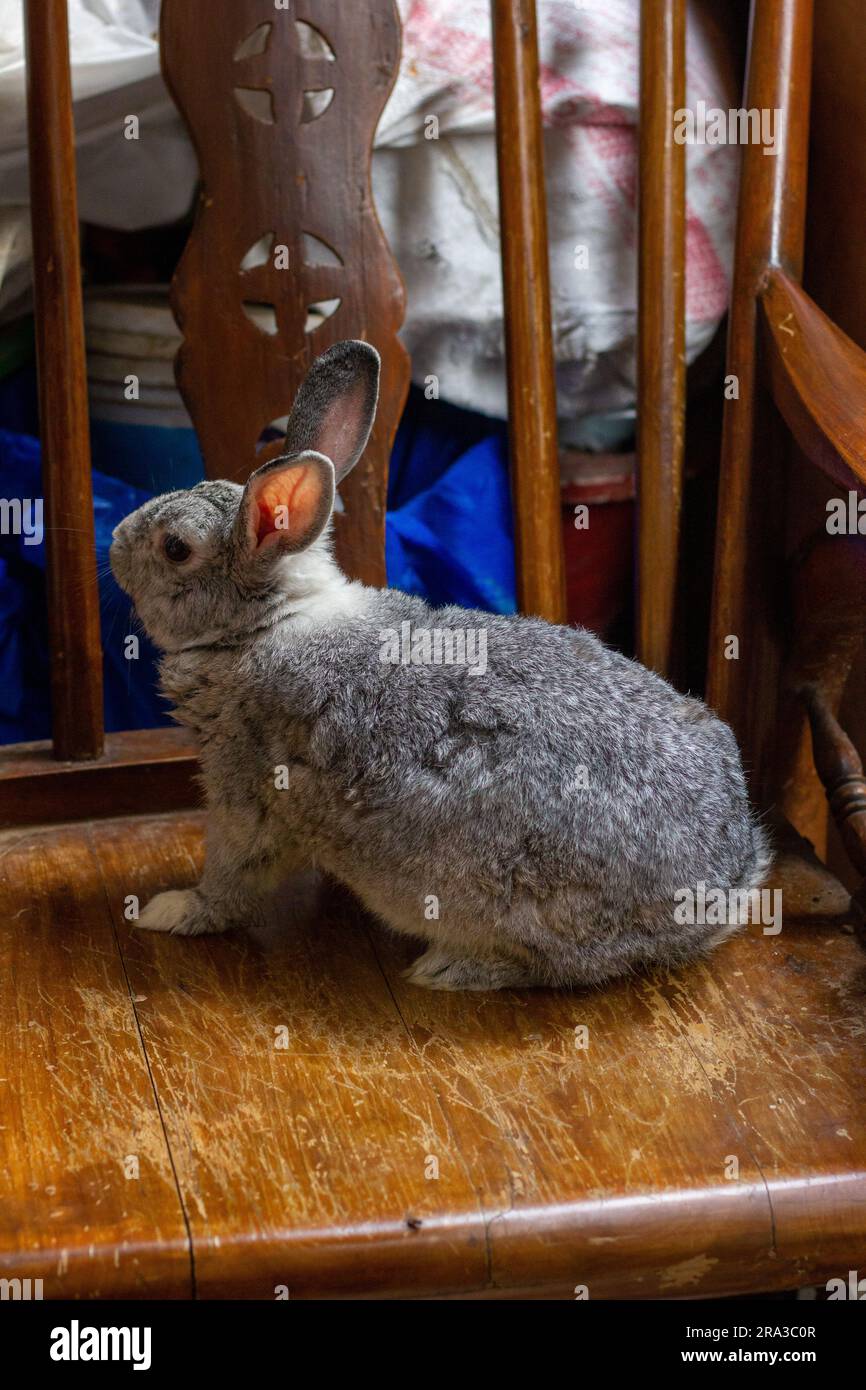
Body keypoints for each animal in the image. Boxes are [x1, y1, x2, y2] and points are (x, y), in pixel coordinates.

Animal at [110, 339, 771, 991]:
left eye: (175, 548)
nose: (115, 540)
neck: (265, 623)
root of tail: (724, 888)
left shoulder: (246, 785)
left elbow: (232, 872)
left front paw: (172, 910)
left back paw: (449, 967)